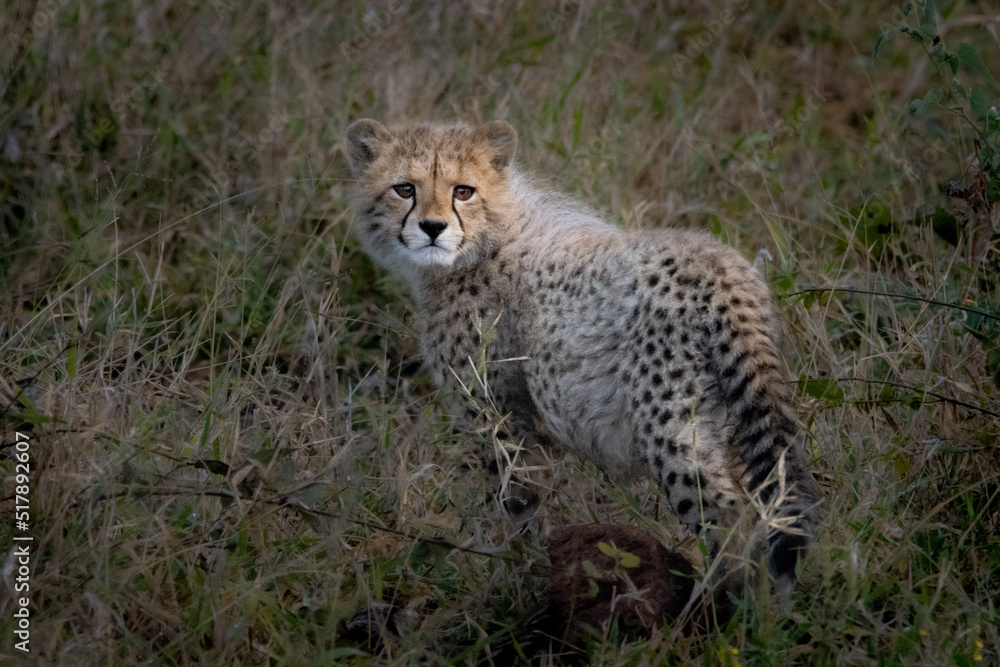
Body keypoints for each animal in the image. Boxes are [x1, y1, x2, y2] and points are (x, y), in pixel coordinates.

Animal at [344, 118, 820, 593]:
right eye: (405, 189)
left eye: (463, 190)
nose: (432, 227)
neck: (485, 239)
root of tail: (719, 264)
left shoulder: (497, 411)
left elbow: (516, 498)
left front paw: (515, 581)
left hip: (667, 420)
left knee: (725, 514)